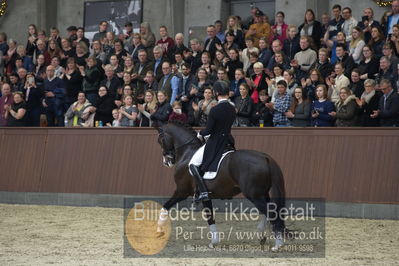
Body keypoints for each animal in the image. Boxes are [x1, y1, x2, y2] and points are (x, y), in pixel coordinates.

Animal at [156, 121, 288, 250]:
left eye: (160, 140)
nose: (167, 161)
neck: (187, 152)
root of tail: (265, 157)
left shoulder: (181, 191)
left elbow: (165, 207)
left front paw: (158, 230)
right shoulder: (205, 196)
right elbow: (210, 216)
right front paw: (214, 242)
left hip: (254, 195)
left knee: (271, 212)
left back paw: (277, 244)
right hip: (262, 193)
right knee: (270, 209)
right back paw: (261, 236)